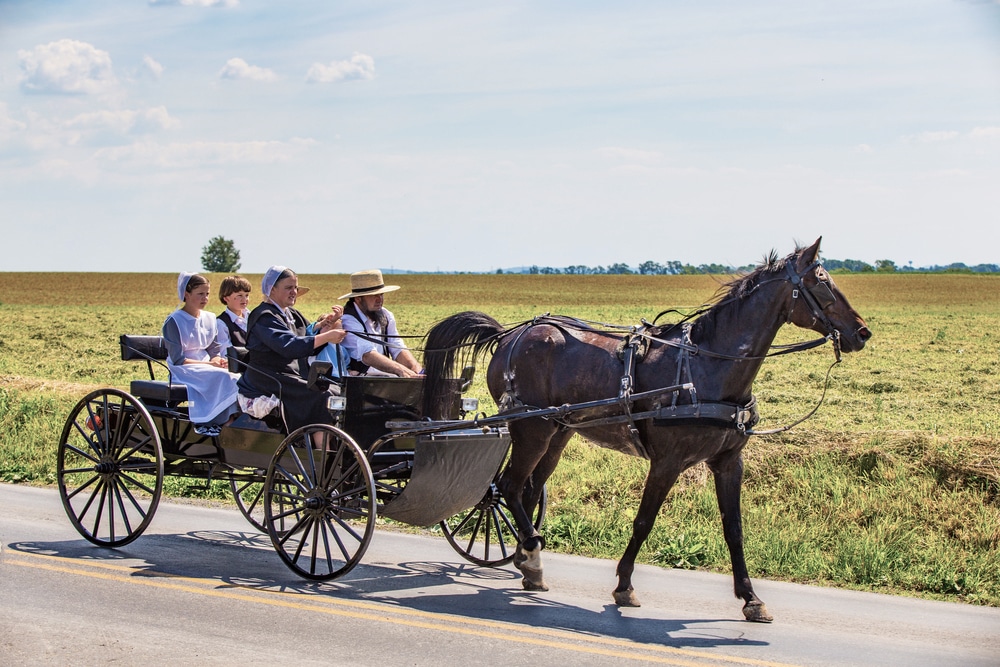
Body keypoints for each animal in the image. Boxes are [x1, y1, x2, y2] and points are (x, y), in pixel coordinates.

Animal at [422, 239, 868, 620]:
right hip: (530, 428)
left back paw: (527, 562)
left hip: (558, 431)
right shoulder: (667, 462)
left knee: (528, 491)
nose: (862, 332)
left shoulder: (728, 462)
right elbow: (644, 521)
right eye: (821, 281)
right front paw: (624, 585)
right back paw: (530, 554)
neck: (707, 367)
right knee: (508, 488)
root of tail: (510, 334)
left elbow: (734, 529)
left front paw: (751, 598)